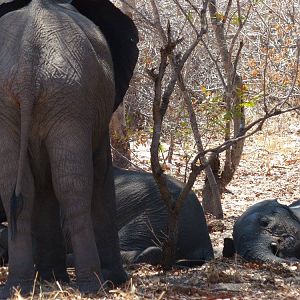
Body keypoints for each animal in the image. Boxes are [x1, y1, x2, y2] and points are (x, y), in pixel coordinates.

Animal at [0, 0, 138, 296]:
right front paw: (115, 279)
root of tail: (27, 66)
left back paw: (18, 287)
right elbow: (101, 172)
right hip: (68, 97)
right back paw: (94, 285)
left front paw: (52, 277)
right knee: (74, 187)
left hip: (34, 100)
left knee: (18, 188)